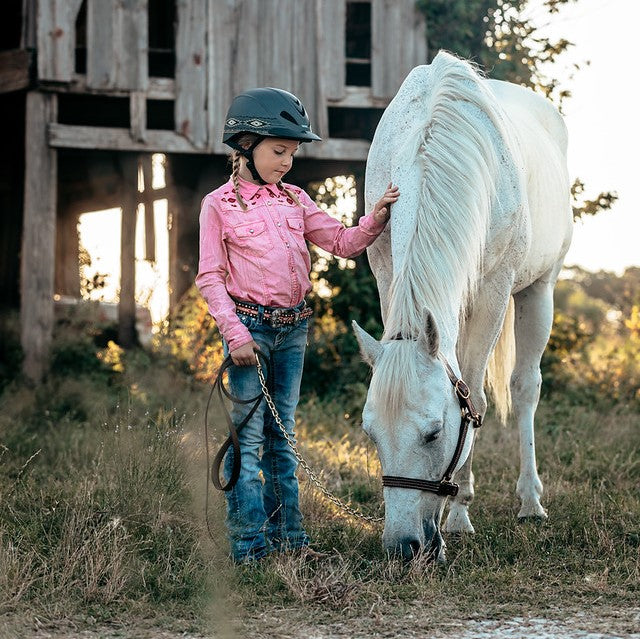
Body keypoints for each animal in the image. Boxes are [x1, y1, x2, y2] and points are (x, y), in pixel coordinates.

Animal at [356, 51, 568, 560]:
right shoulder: (387, 277)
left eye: (434, 433)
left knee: (524, 388)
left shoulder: (492, 291)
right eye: (371, 434)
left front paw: (459, 515)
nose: (403, 547)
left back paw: (530, 502)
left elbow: (477, 395)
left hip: (538, 291)